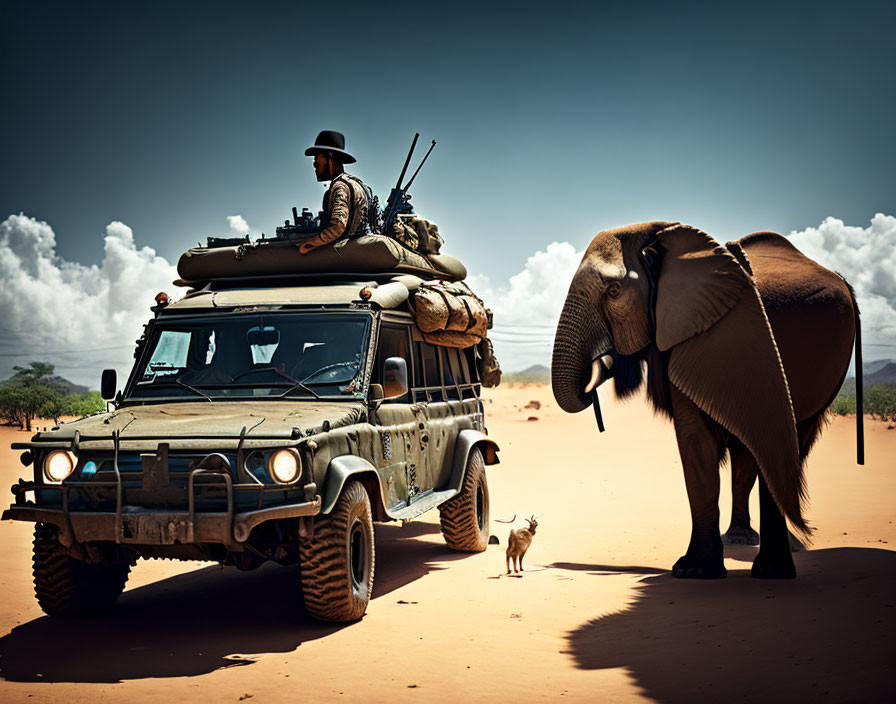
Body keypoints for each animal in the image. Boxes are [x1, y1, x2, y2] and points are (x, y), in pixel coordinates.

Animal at [552, 223, 860, 580]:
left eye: (614, 291)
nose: (601, 368)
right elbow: (695, 441)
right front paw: (698, 572)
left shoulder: (712, 339)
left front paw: (697, 571)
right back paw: (745, 544)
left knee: (789, 442)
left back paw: (777, 560)